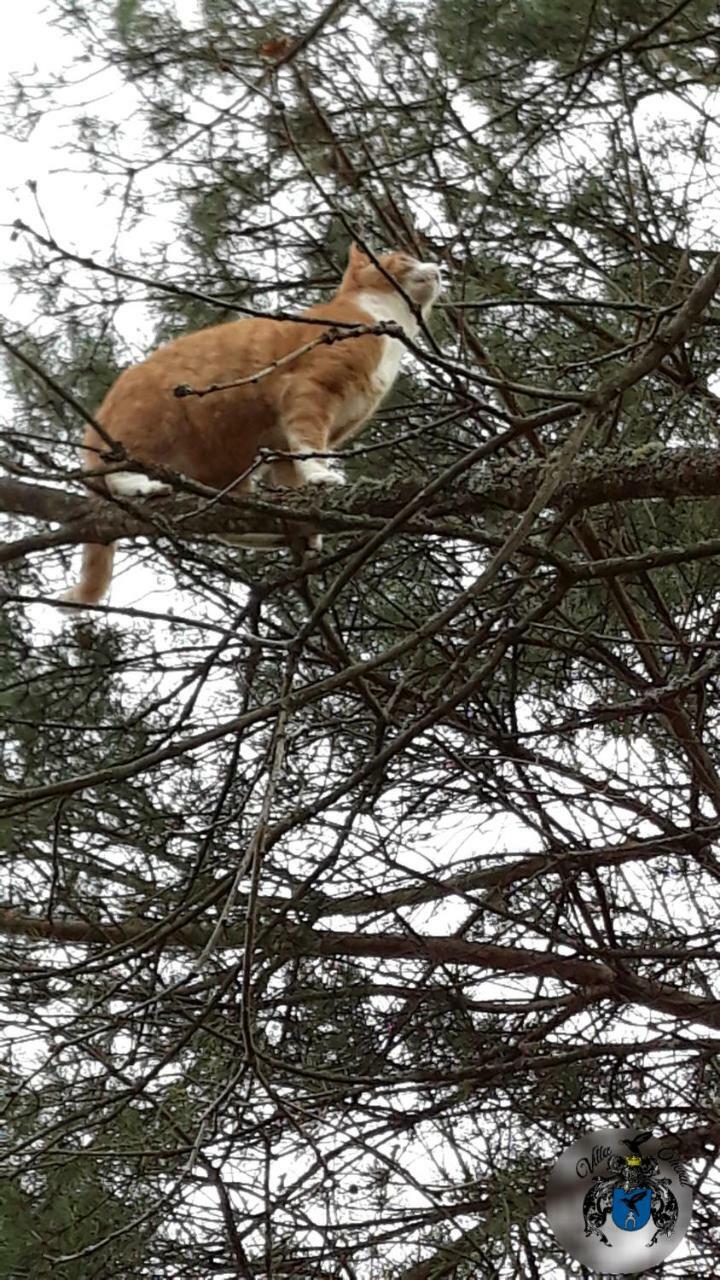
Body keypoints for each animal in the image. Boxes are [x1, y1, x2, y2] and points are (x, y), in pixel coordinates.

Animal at [64, 244, 440, 604]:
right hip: (149, 429)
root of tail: (97, 418)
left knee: (227, 517)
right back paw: (142, 485)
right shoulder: (309, 391)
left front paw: (300, 508)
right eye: (405, 259)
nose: (437, 268)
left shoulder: (286, 442)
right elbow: (310, 445)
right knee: (118, 469)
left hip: (223, 466)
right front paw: (322, 476)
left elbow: (290, 472)